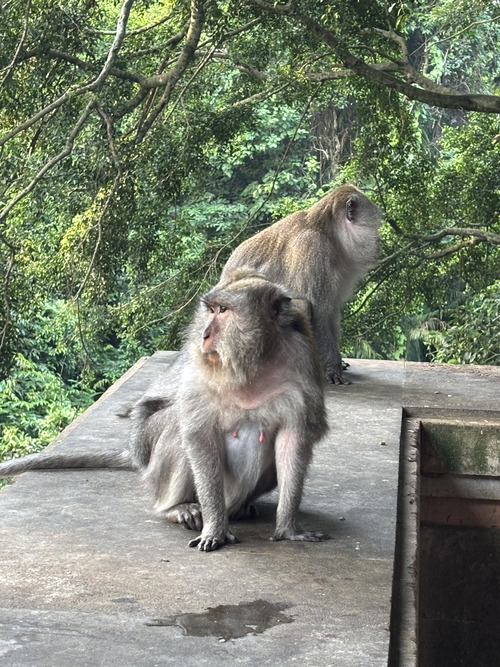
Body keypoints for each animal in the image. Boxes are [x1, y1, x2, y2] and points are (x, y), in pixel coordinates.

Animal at [0, 272, 329, 552]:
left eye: (223, 310)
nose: (205, 335)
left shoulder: (302, 364)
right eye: (211, 310)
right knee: (175, 428)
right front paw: (215, 528)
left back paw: (238, 510)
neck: (255, 362)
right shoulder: (199, 367)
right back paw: (178, 508)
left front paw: (288, 529)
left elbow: (292, 441)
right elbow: (197, 434)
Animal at [221, 185, 381, 384]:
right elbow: (318, 311)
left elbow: (331, 312)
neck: (327, 233)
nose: (379, 242)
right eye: (375, 226)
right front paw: (332, 369)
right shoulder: (313, 249)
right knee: (301, 305)